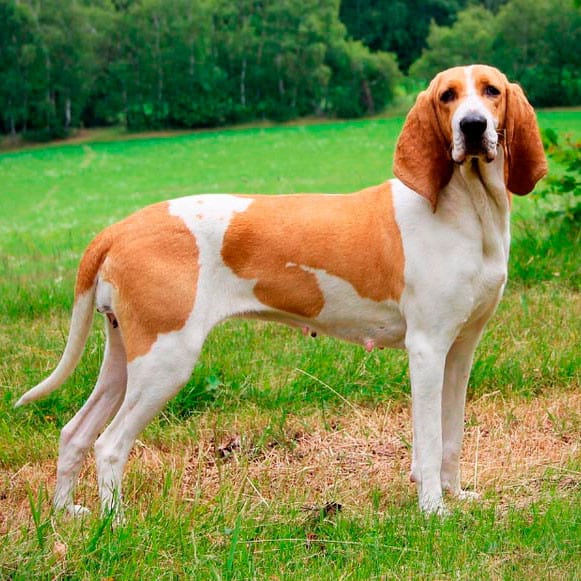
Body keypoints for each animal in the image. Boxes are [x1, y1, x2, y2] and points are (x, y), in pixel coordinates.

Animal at [15, 64, 548, 516]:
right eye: (447, 96)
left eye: (491, 91)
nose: (473, 126)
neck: (467, 211)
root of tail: (119, 228)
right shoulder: (427, 350)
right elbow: (429, 440)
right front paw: (434, 511)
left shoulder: (460, 351)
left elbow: (451, 435)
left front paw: (457, 497)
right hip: (165, 361)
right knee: (109, 445)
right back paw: (117, 526)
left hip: (126, 361)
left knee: (75, 434)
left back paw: (66, 514)